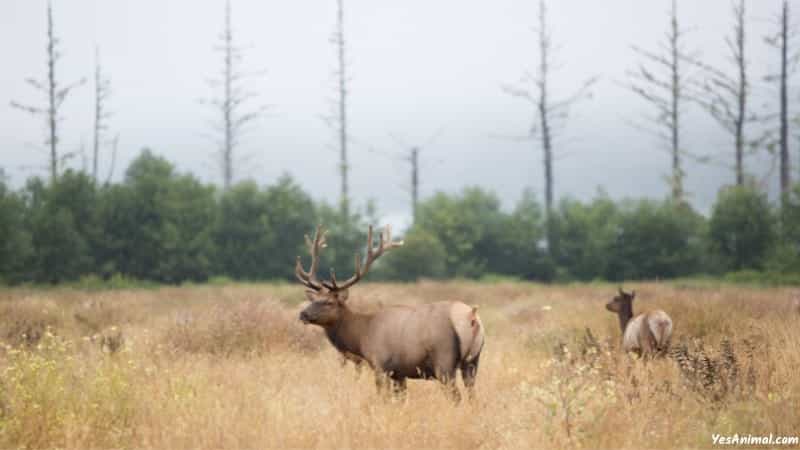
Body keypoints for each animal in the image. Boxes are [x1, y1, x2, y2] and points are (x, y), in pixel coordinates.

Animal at [294, 225, 482, 400]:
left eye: (329, 302)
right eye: (313, 299)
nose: (303, 314)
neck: (362, 336)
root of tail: (471, 316)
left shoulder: (380, 364)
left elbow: (383, 397)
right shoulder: (399, 373)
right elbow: (401, 399)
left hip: (444, 361)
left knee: (456, 397)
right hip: (472, 362)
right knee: (473, 395)